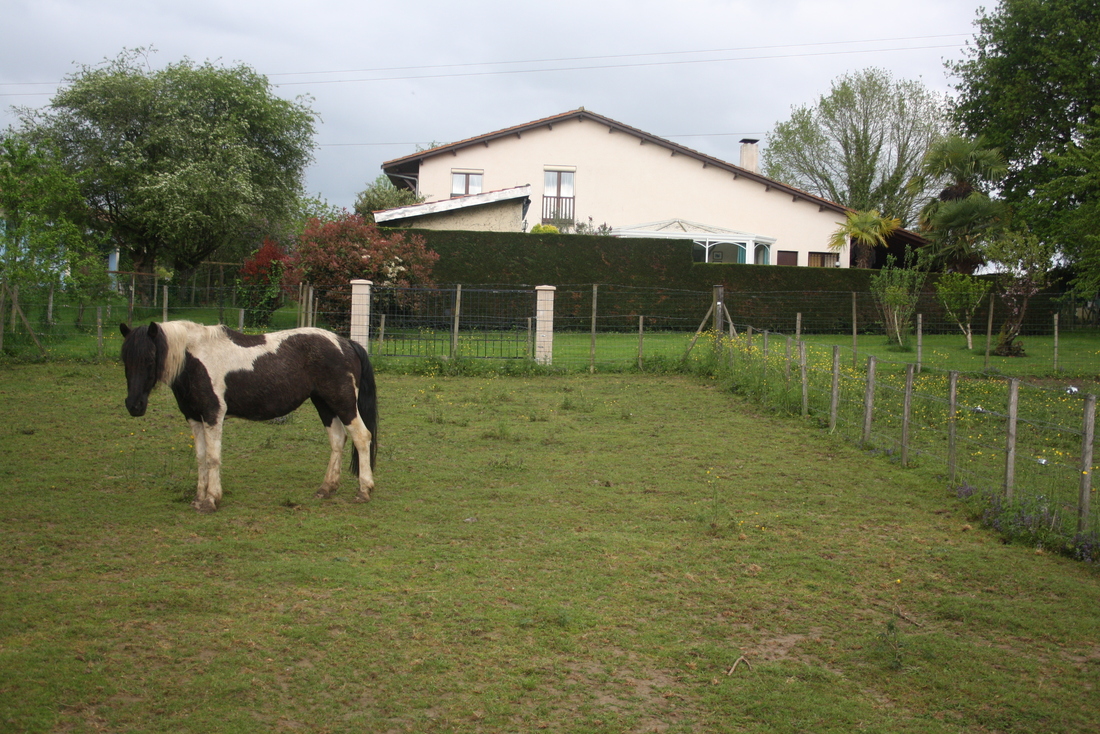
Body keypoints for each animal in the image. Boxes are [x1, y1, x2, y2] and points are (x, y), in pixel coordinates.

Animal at [118, 319, 378, 515]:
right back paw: (326, 488)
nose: (134, 405)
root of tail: (345, 343)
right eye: (125, 360)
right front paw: (198, 498)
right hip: (324, 404)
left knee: (362, 437)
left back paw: (364, 490)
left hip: (343, 403)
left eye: (150, 359)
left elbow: (213, 458)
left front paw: (211, 500)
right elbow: (201, 458)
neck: (195, 360)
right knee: (337, 440)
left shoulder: (213, 415)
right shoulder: (194, 418)